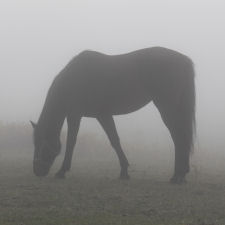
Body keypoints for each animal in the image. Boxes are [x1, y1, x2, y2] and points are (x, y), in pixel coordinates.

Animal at [30, 46, 195, 184]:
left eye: (41, 144)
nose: (37, 171)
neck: (74, 80)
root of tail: (184, 60)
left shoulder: (75, 115)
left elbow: (71, 141)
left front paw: (62, 171)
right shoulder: (103, 115)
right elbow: (115, 141)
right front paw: (124, 171)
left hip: (167, 109)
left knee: (179, 137)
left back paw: (178, 175)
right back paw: (182, 174)